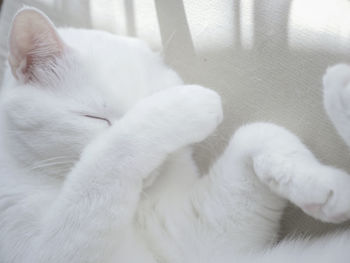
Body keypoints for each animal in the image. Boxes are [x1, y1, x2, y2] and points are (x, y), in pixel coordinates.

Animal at [0, 6, 350, 263]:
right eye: (95, 118)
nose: (152, 169)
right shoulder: (54, 250)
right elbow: (105, 160)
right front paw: (194, 102)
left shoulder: (198, 242)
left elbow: (258, 132)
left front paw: (322, 184)